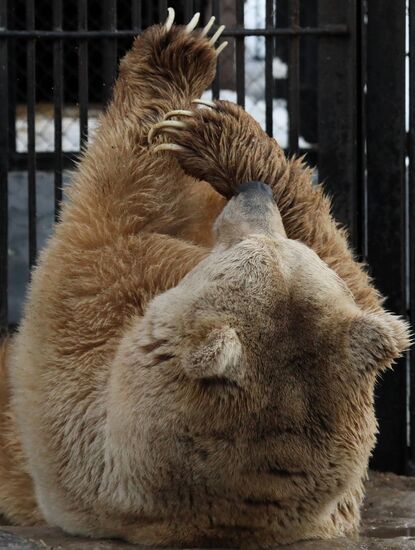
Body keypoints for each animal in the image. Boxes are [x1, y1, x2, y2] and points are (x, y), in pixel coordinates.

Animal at [0, 7, 412, 548]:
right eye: (283, 243)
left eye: (253, 243)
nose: (254, 192)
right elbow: (357, 278)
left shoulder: (81, 381)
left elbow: (105, 222)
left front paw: (184, 82)